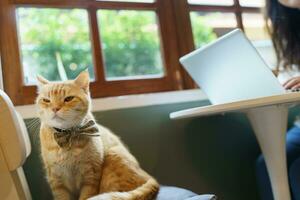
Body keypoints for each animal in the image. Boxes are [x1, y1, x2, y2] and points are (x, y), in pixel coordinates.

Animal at [36, 72, 159, 200]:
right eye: (46, 100)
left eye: (68, 99)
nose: (55, 108)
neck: (67, 135)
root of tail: (150, 178)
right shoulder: (57, 182)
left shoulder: (90, 178)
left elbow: (86, 195)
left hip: (114, 157)